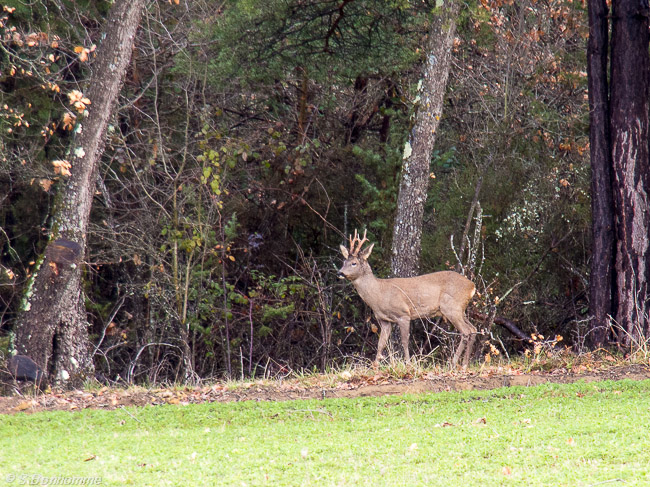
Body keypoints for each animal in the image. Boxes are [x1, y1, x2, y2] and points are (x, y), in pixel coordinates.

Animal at [336, 232, 474, 366]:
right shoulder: (384, 320)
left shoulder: (403, 314)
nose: (340, 273)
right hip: (460, 309)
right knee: (473, 329)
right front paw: (375, 365)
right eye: (343, 262)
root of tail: (472, 286)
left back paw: (455, 363)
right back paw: (465, 363)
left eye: (354, 263)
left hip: (451, 307)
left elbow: (405, 341)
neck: (379, 294)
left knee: (466, 331)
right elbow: (381, 343)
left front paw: (408, 363)